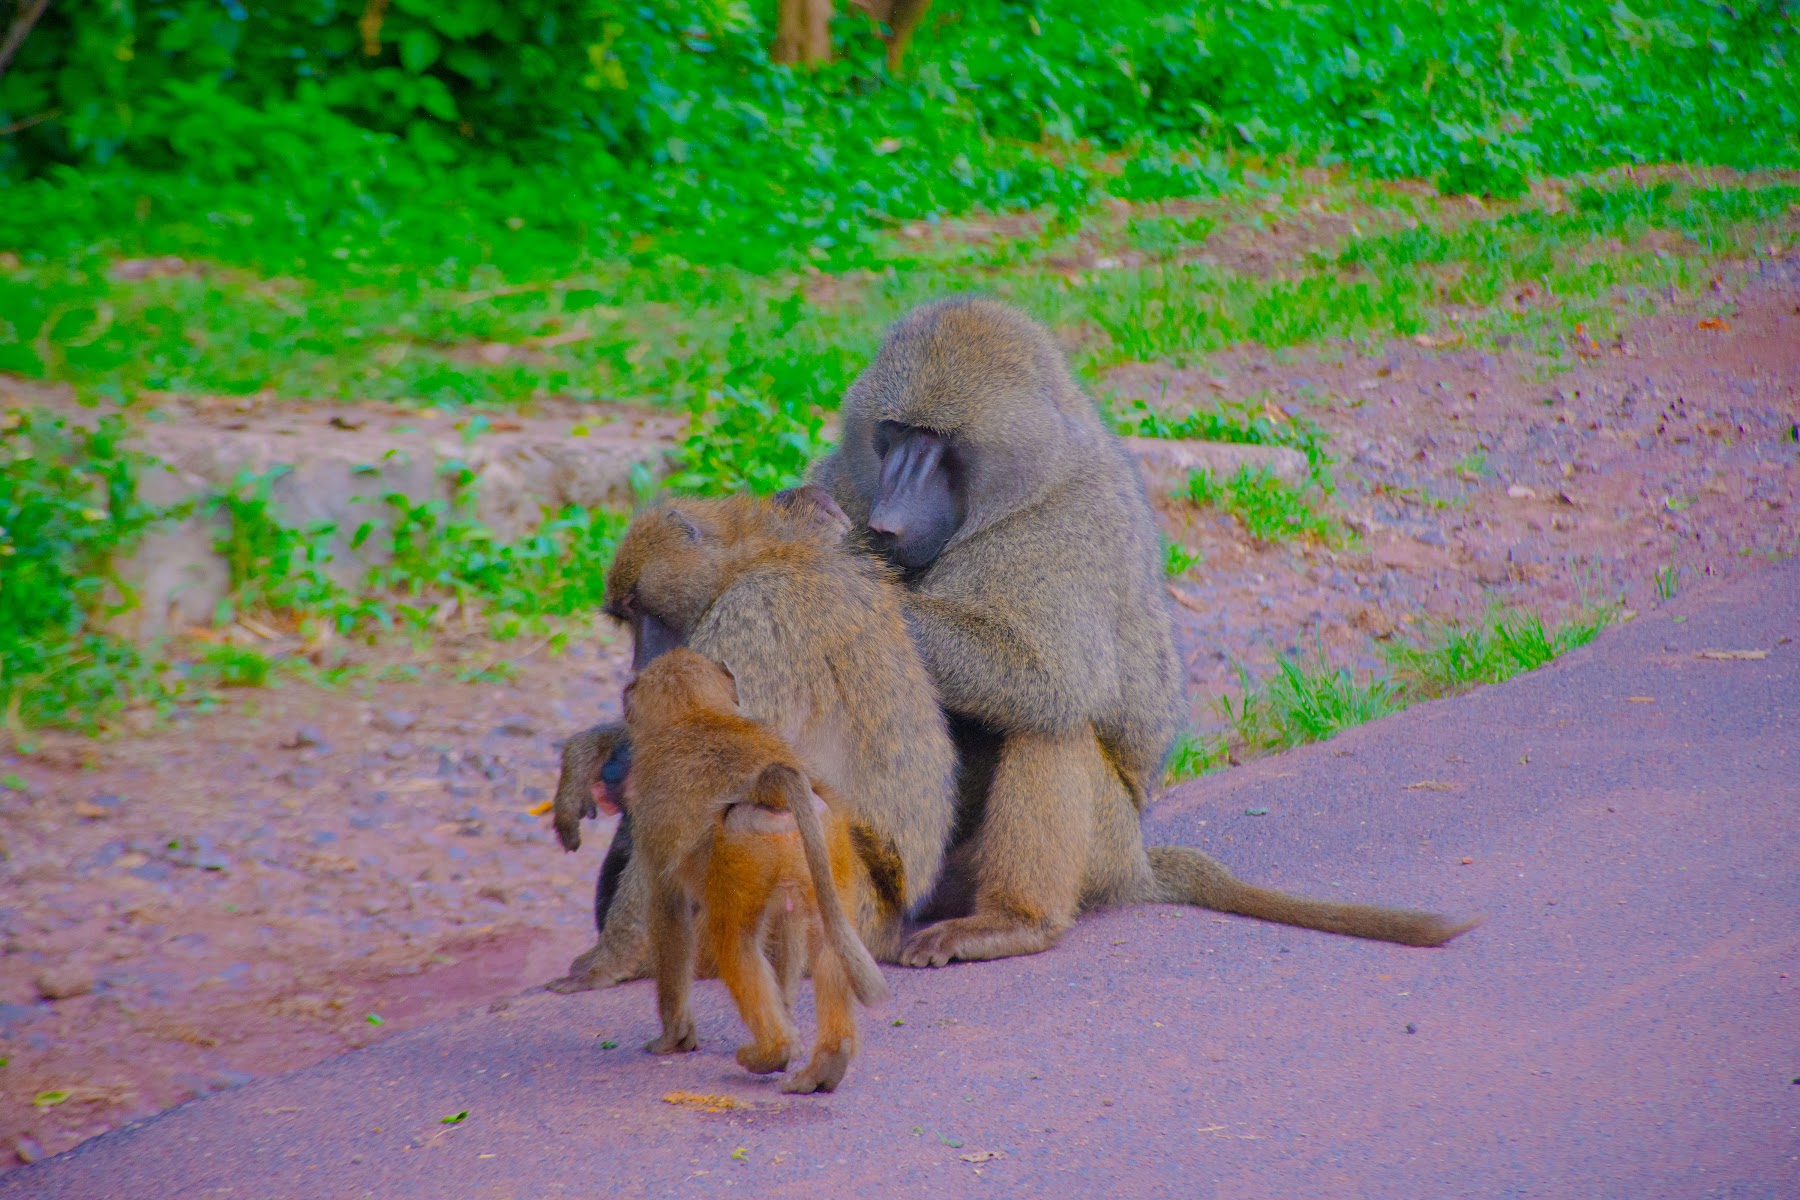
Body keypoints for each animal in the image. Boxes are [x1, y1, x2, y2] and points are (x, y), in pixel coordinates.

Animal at [547, 489, 957, 994]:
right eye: (625, 615)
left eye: (639, 606)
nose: (638, 665)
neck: (749, 558)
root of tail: (889, 923)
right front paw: (590, 751)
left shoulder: (751, 617)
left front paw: (608, 961)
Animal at [620, 647, 887, 1093]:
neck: (694, 713)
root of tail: (770, 784)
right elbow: (790, 926)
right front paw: (787, 1008)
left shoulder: (650, 829)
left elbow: (670, 915)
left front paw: (673, 1038)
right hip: (825, 837)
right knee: (826, 937)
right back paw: (826, 1061)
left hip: (742, 844)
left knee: (735, 942)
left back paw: (773, 1051)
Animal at [805, 296, 1480, 964]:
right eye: (894, 434)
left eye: (935, 440)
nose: (888, 521)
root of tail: (1138, 865)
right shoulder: (845, 480)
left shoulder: (1062, 531)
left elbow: (1050, 677)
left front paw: (841, 571)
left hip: (1102, 843)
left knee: (1053, 723)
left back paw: (1015, 922)